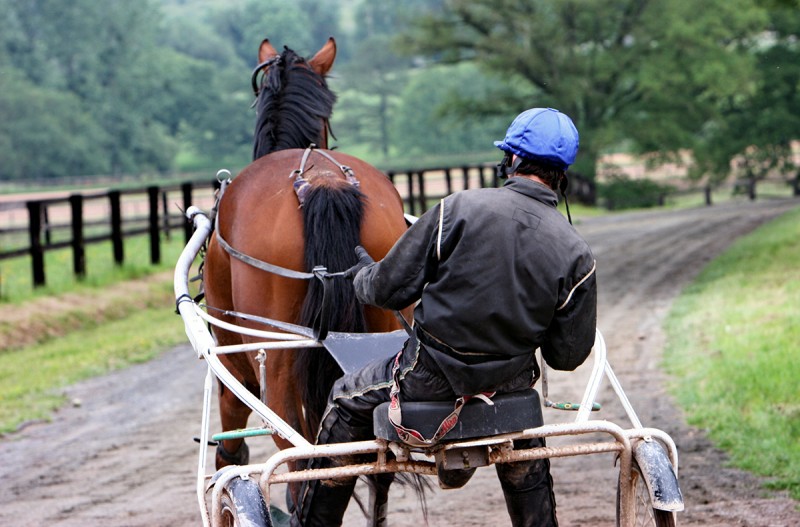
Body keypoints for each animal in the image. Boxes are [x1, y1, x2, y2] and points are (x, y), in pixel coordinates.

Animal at [200, 38, 412, 516]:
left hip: (276, 351)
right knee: (375, 462)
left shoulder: (233, 355)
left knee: (291, 448)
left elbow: (234, 421)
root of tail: (324, 181)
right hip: (382, 329)